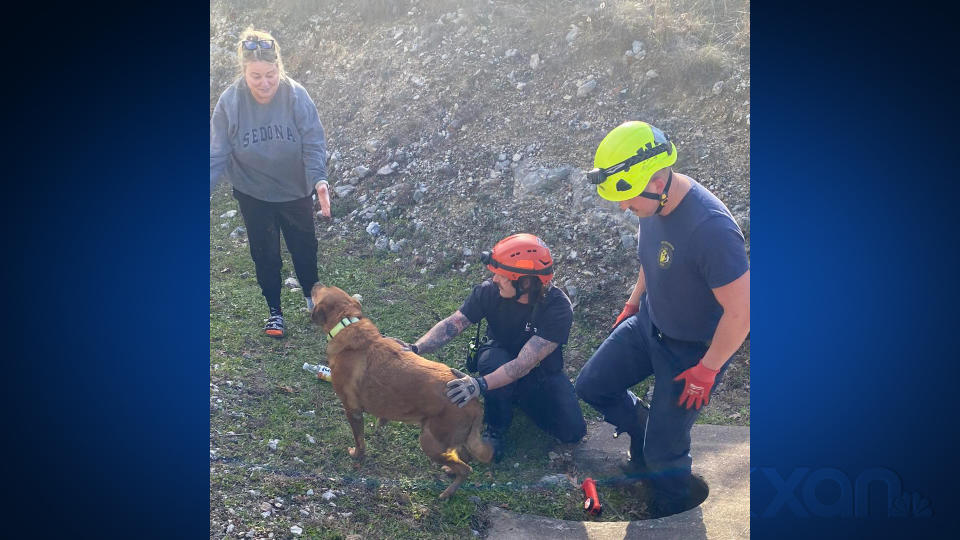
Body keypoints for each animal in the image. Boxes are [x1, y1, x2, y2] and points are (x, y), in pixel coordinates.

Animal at [312, 284, 496, 500]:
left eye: (320, 290)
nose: (314, 284)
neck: (346, 322)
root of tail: (474, 402)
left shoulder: (352, 410)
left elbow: (359, 441)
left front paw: (357, 456)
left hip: (429, 442)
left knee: (466, 469)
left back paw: (447, 493)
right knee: (464, 456)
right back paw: (450, 470)